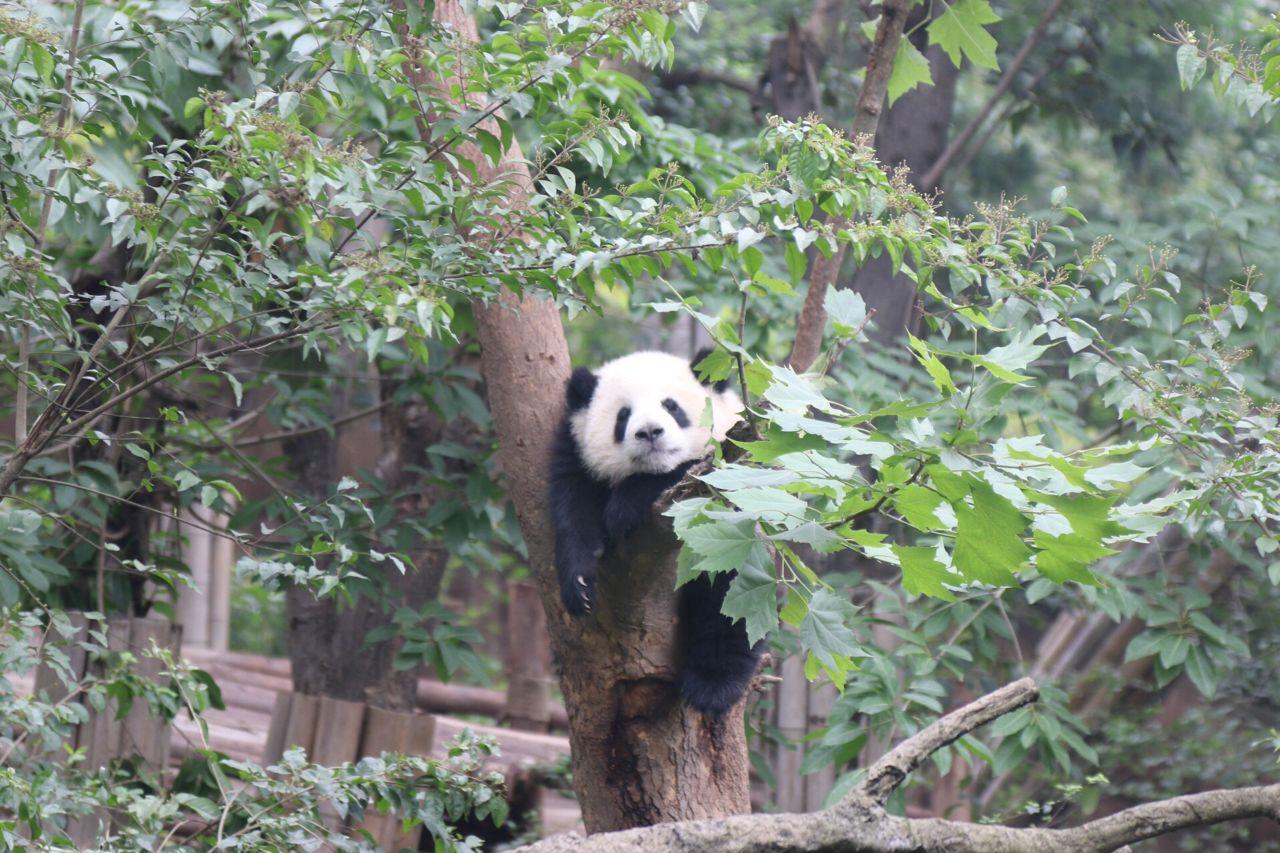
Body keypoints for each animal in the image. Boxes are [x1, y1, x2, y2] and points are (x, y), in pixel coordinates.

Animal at [549, 349, 763, 716]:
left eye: (672, 406)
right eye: (623, 416)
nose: (650, 432)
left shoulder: (734, 466)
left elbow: (691, 473)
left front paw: (624, 508)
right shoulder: (576, 452)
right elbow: (572, 510)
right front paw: (580, 586)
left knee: (730, 601)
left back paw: (711, 687)